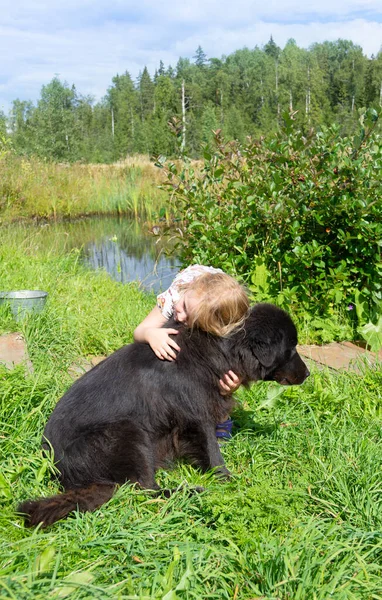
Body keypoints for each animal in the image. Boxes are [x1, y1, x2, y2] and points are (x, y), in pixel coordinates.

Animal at [18, 302, 310, 528]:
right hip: (127, 433)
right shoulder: (198, 417)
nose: (308, 374)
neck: (220, 348)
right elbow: (213, 453)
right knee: (144, 489)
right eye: (292, 348)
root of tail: (56, 465)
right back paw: (188, 491)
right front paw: (227, 481)